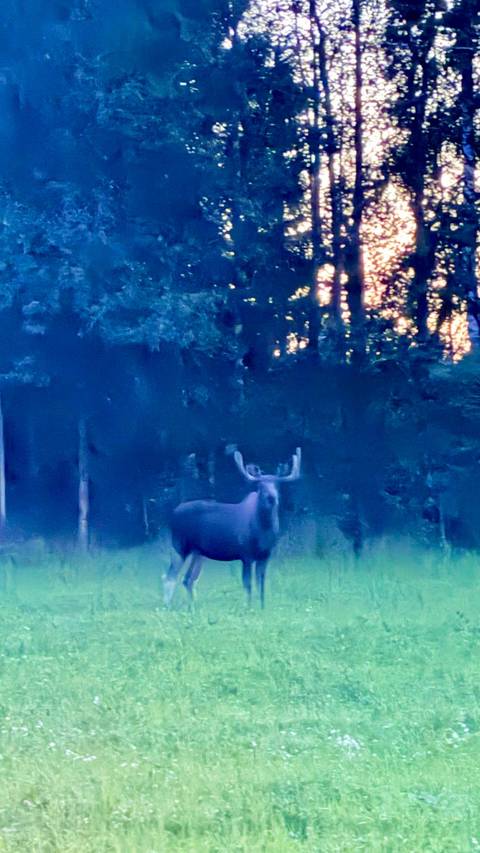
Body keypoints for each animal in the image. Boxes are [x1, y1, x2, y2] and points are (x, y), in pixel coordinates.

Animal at [163, 447, 301, 608]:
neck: (264, 531)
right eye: (260, 486)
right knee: (170, 576)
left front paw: (262, 607)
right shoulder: (246, 554)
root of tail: (173, 513)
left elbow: (261, 585)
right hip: (179, 545)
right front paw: (248, 607)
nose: (271, 497)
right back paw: (168, 606)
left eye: (277, 485)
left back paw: (193, 606)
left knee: (188, 579)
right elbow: (248, 584)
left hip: (198, 552)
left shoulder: (265, 555)